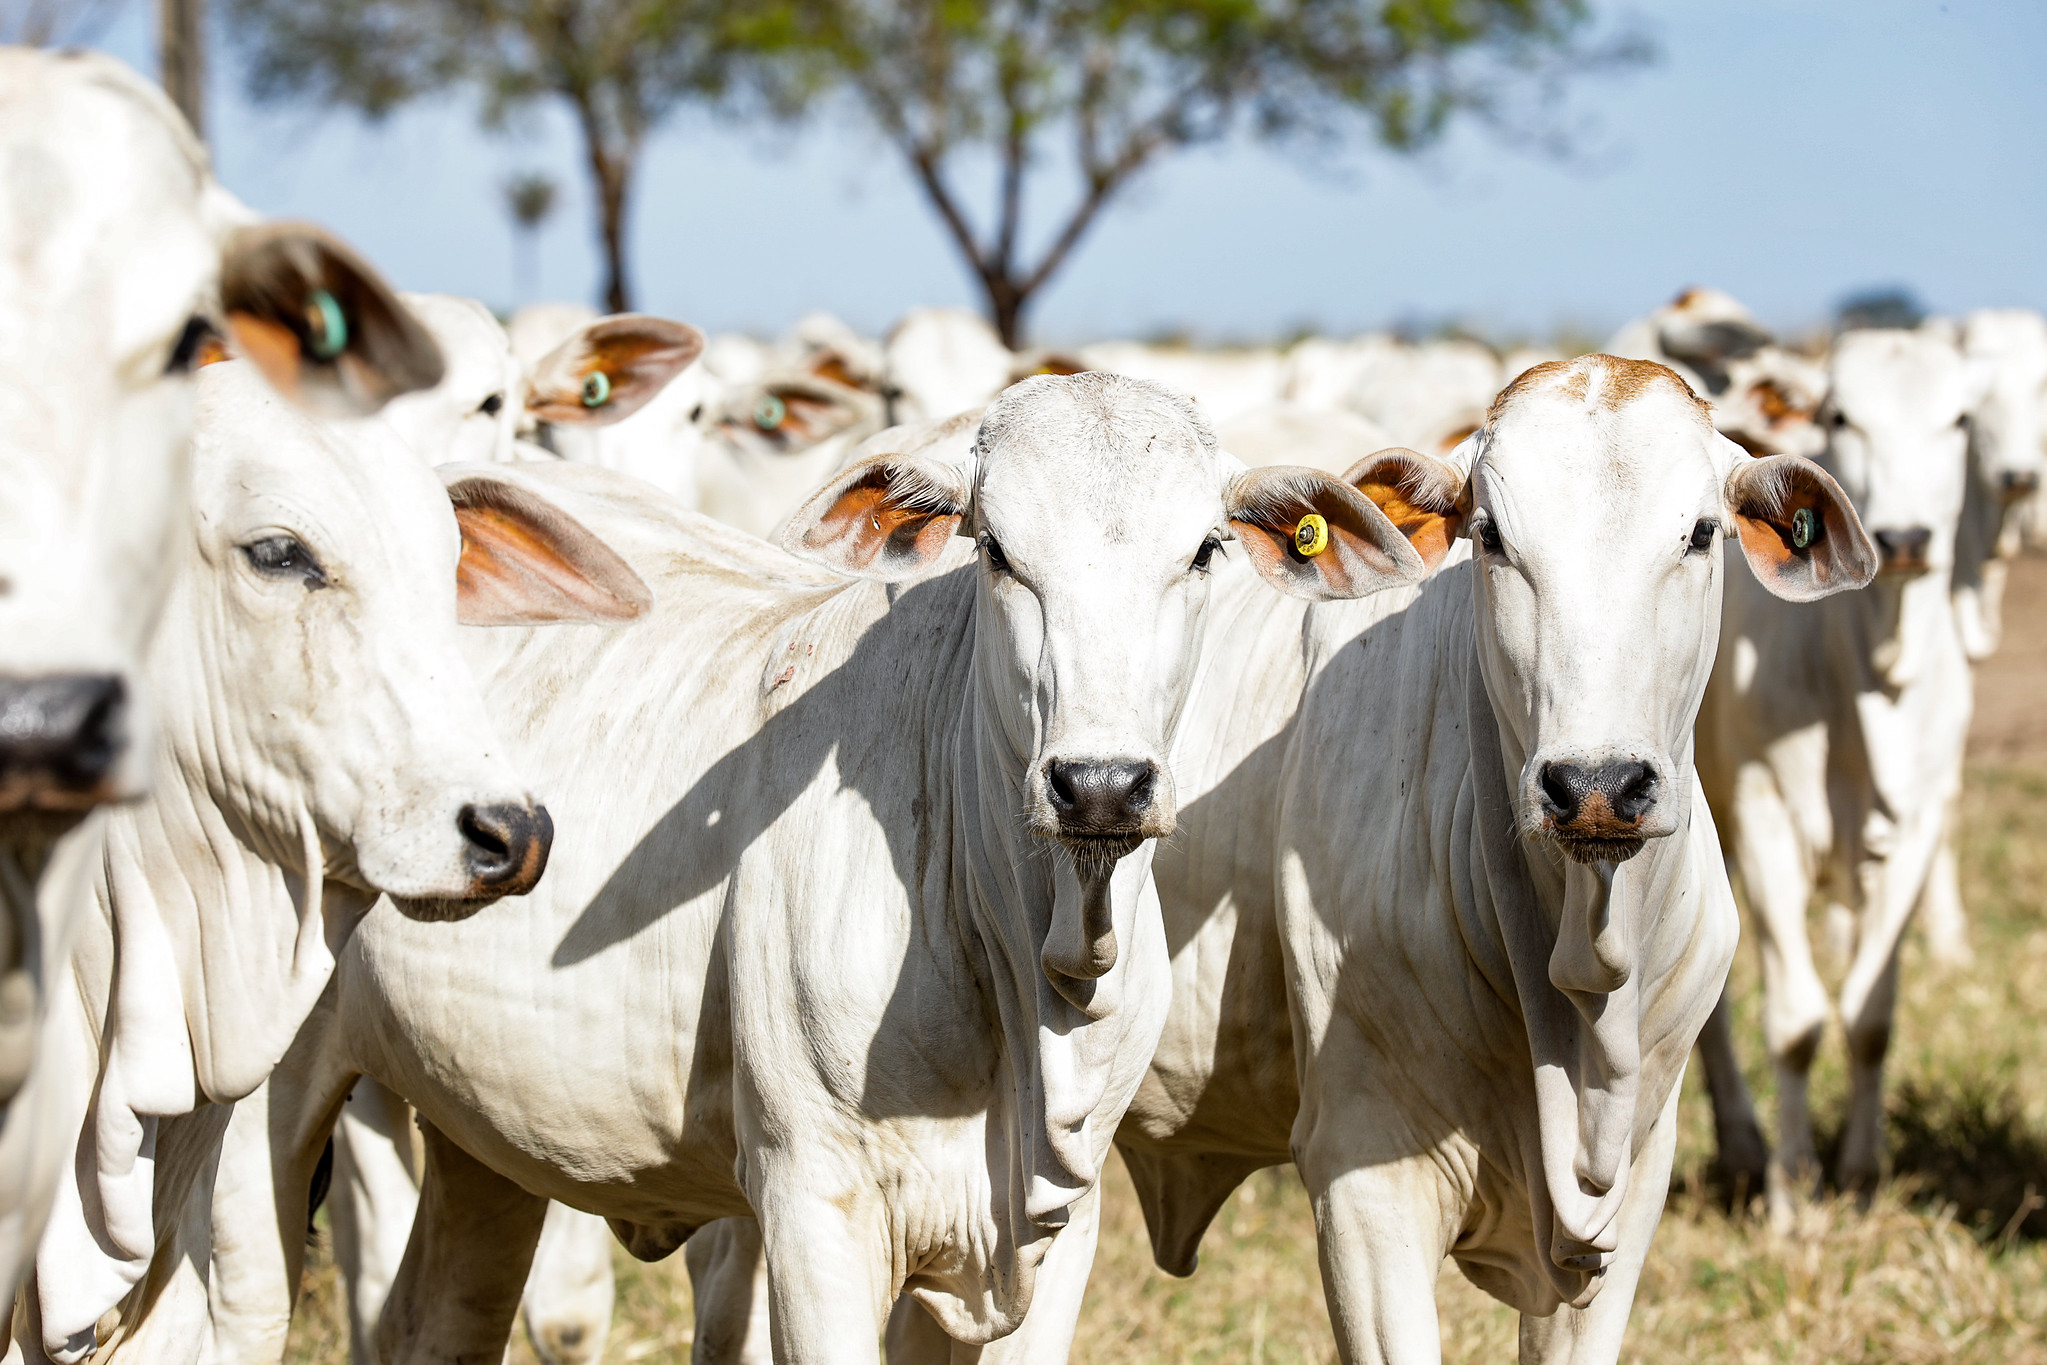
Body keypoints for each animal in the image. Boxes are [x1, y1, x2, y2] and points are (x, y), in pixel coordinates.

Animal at [203, 374, 1424, 1365]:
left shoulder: (1050, 1235)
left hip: (482, 1137)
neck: (1024, 960)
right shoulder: (813, 1210)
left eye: (1204, 551)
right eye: (996, 551)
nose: (1100, 784)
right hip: (255, 1118)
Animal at [1686, 327, 1973, 1219]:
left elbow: (1869, 1014)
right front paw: (1790, 1192)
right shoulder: (1764, 813)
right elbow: (1796, 1019)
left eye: (1960, 418)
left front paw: (1860, 1172)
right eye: (1841, 414)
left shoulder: (1918, 823)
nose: (1908, 537)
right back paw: (1744, 1145)